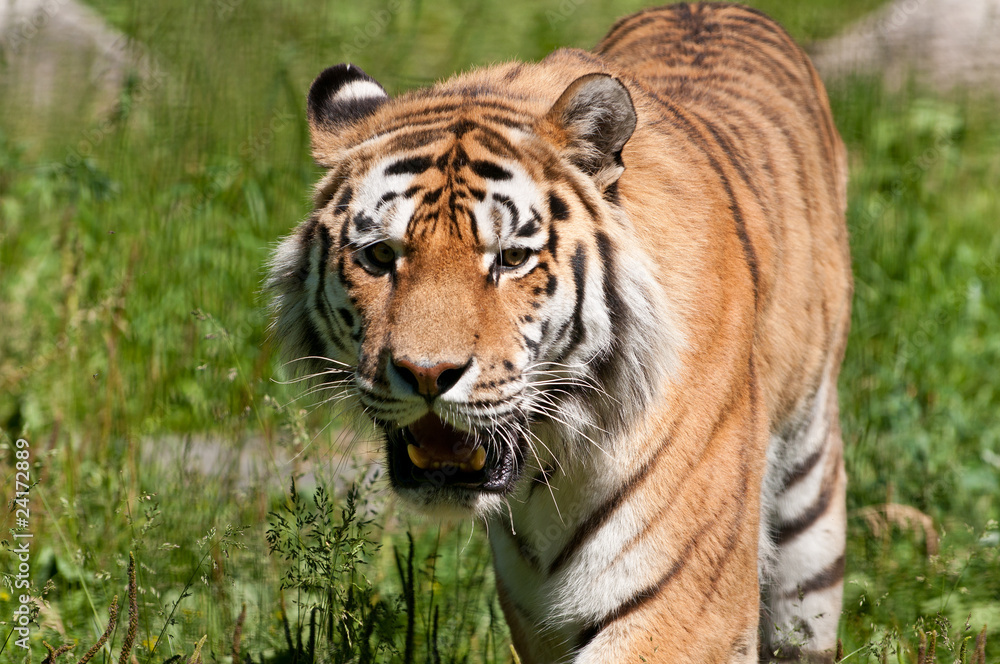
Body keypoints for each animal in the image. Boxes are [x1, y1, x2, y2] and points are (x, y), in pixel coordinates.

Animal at [266, 3, 852, 662]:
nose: (427, 374)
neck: (549, 466)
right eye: (380, 256)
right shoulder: (535, 615)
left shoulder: (684, 599)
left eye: (511, 258)